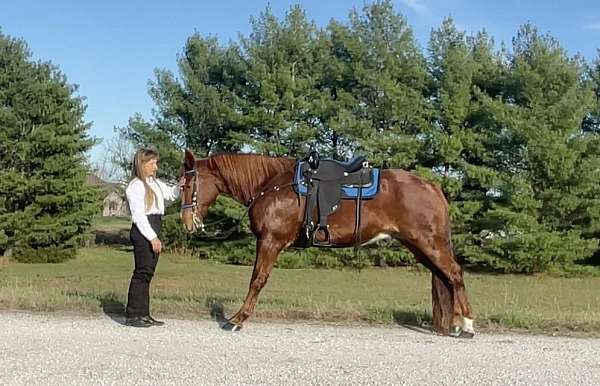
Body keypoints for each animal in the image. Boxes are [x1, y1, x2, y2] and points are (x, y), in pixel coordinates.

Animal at [178, 149, 474, 336]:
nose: (187, 222)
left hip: (430, 244)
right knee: (446, 278)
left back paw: (467, 325)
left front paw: (237, 320)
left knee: (455, 274)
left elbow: (257, 280)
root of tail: (433, 187)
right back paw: (454, 324)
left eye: (186, 184)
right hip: (420, 247)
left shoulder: (270, 242)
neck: (270, 185)